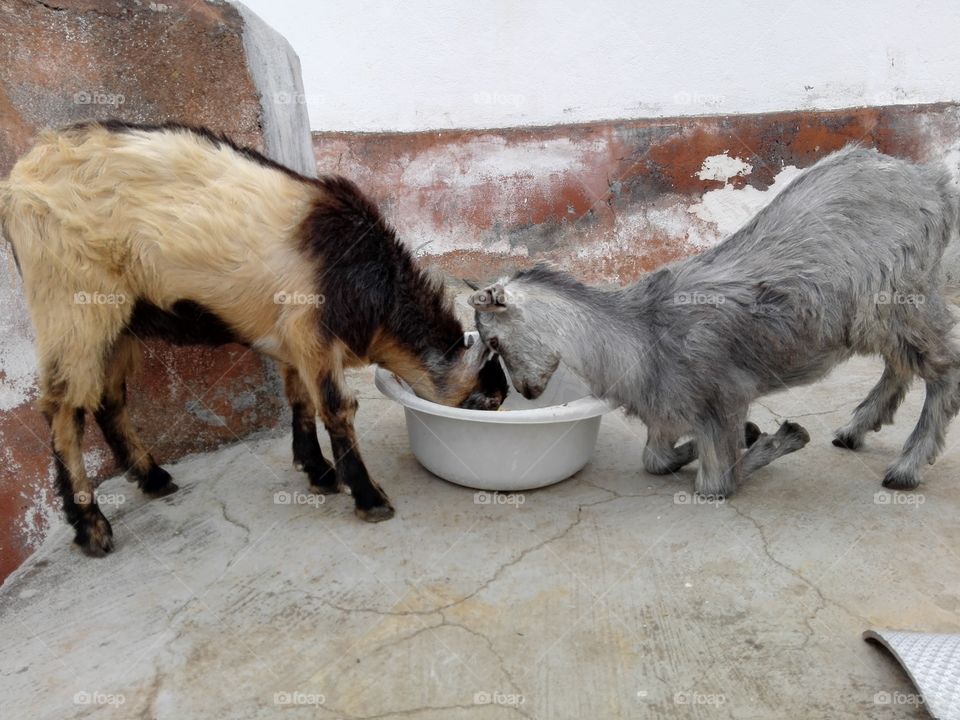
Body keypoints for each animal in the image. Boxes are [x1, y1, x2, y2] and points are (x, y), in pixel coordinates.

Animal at [1, 120, 507, 556]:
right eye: (488, 401)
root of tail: (17, 184)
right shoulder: (311, 329)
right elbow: (336, 407)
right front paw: (368, 496)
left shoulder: (294, 338)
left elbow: (299, 398)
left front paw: (318, 471)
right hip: (72, 307)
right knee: (64, 410)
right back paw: (91, 526)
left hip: (121, 319)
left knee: (108, 397)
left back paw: (153, 477)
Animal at [468, 146, 960, 498]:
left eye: (492, 340)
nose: (527, 392)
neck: (638, 334)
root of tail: (932, 183)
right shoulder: (666, 413)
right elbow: (654, 460)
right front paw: (750, 435)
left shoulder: (724, 398)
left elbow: (716, 483)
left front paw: (782, 436)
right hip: (885, 315)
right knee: (901, 365)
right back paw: (855, 429)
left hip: (899, 299)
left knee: (945, 367)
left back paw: (906, 467)